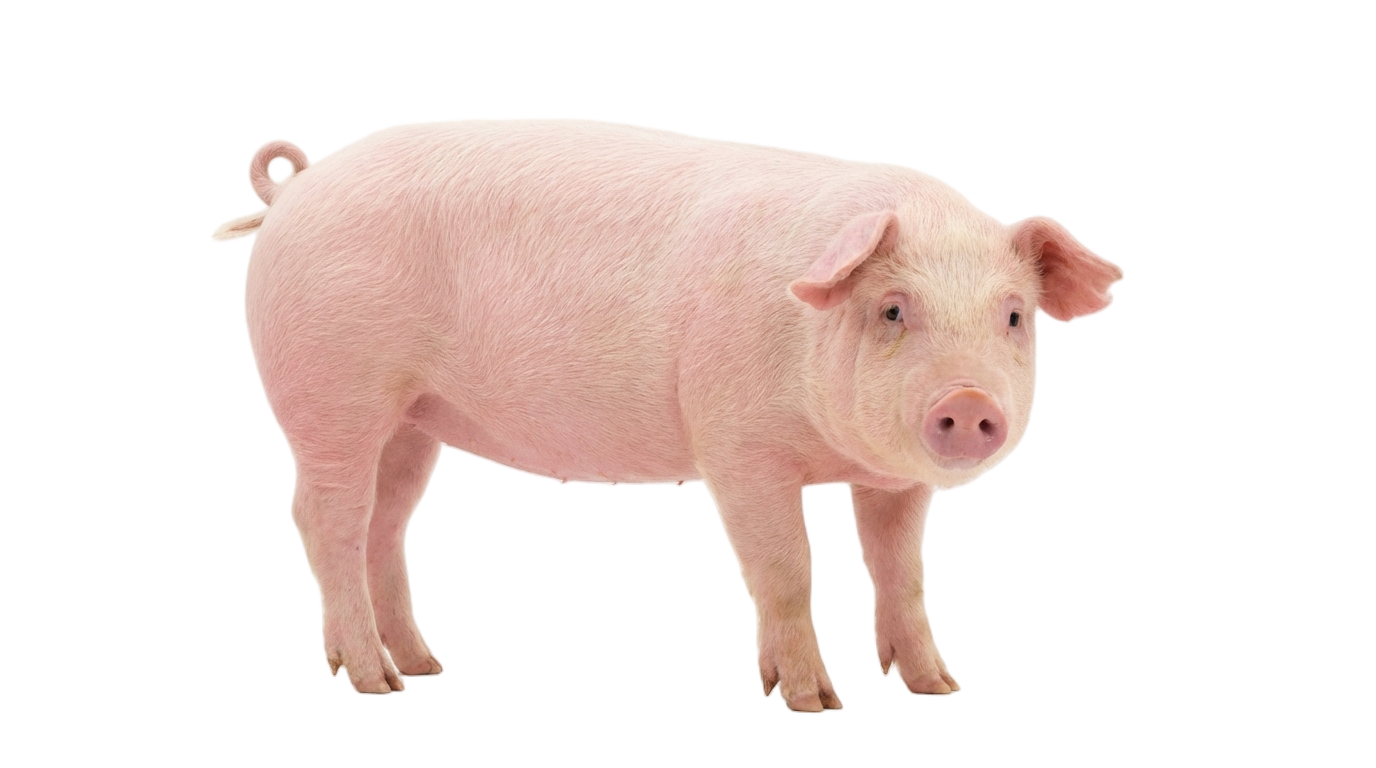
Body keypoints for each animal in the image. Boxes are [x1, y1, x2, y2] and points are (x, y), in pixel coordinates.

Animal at [208, 114, 1125, 715]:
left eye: (1014, 316)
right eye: (893, 309)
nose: (967, 403)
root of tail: (297, 187)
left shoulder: (894, 482)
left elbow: (900, 572)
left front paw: (939, 688)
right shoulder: (737, 449)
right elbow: (786, 570)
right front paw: (812, 703)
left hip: (411, 422)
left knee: (385, 526)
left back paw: (428, 666)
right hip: (329, 394)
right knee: (321, 518)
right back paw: (374, 682)